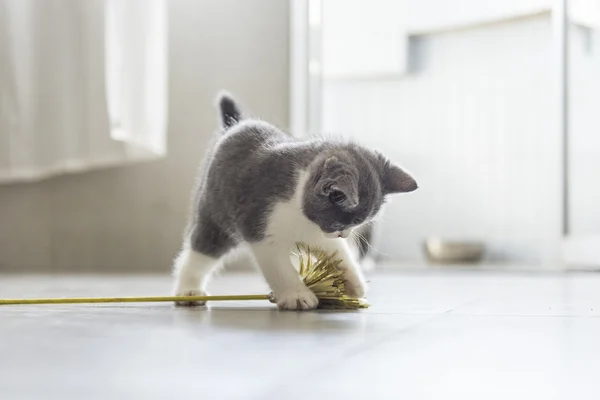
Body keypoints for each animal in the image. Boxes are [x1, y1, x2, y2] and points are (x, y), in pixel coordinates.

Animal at [173, 93, 418, 310]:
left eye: (356, 225)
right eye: (341, 223)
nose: (344, 234)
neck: (298, 210)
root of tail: (237, 125)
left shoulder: (317, 232)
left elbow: (337, 252)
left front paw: (353, 282)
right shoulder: (263, 228)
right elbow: (279, 267)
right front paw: (296, 294)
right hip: (215, 214)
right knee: (200, 249)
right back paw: (189, 290)